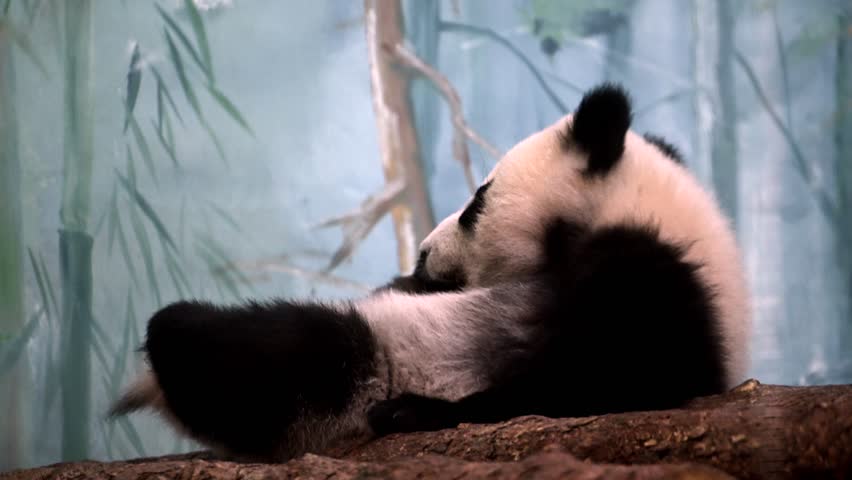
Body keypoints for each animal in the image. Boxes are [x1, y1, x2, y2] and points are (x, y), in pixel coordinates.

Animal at [111, 84, 750, 461]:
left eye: (476, 201)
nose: (421, 252)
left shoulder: (657, 279)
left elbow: (608, 374)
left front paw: (416, 412)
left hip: (348, 361)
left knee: (286, 355)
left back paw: (179, 334)